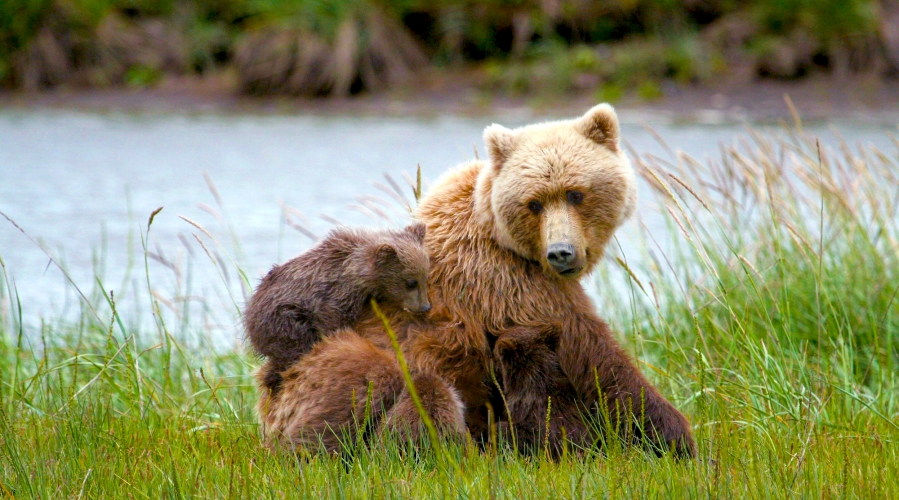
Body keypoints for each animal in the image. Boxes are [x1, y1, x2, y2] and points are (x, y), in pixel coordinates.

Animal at [244, 224, 430, 394]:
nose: (425, 306)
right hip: (284, 319)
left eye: (425, 278)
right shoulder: (334, 294)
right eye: (411, 282)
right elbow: (333, 322)